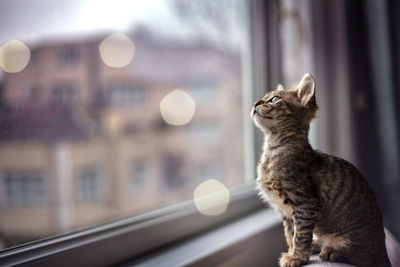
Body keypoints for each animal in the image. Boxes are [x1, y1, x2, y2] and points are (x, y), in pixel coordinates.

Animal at [250, 74, 390, 267]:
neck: (274, 149)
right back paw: (316, 245)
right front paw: (293, 252)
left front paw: (297, 257)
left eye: (273, 99)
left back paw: (332, 251)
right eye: (263, 98)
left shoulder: (305, 204)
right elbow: (290, 235)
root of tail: (383, 251)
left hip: (354, 240)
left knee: (362, 256)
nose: (255, 103)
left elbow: (300, 236)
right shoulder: (287, 214)